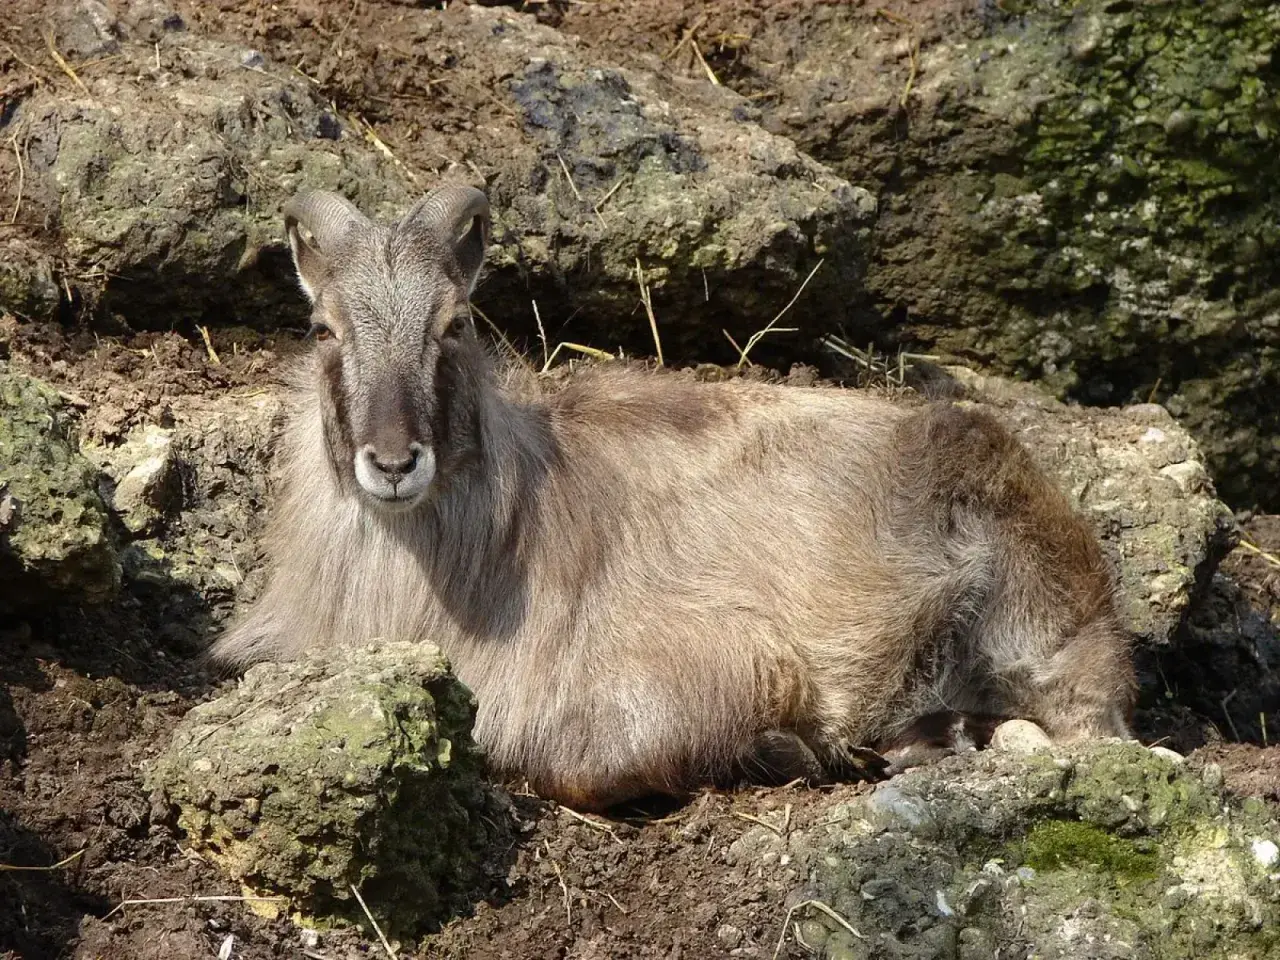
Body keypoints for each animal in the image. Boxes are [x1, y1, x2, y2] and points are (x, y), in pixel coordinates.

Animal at [209, 184, 1137, 811]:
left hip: (1036, 630)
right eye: (323, 328)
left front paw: (787, 747)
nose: (395, 461)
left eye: (455, 322)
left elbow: (580, 766)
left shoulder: (712, 664)